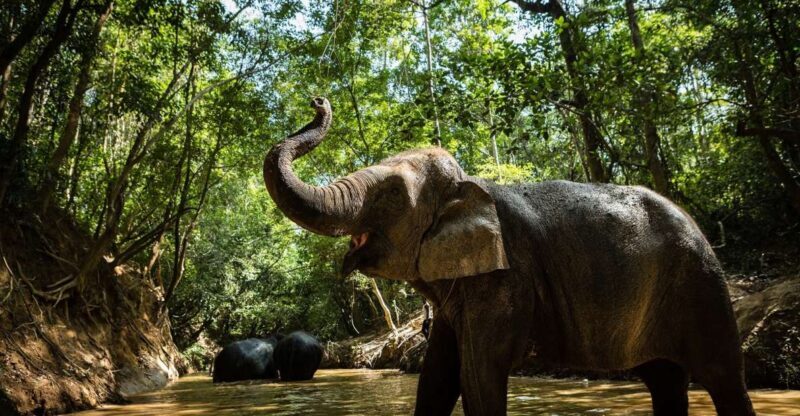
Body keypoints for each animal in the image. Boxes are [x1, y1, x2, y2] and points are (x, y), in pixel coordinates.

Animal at [262, 97, 755, 415]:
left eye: (393, 195)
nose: (317, 100)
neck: (472, 187)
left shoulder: (507, 278)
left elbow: (479, 374)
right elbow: (437, 378)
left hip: (701, 284)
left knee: (723, 378)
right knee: (665, 381)